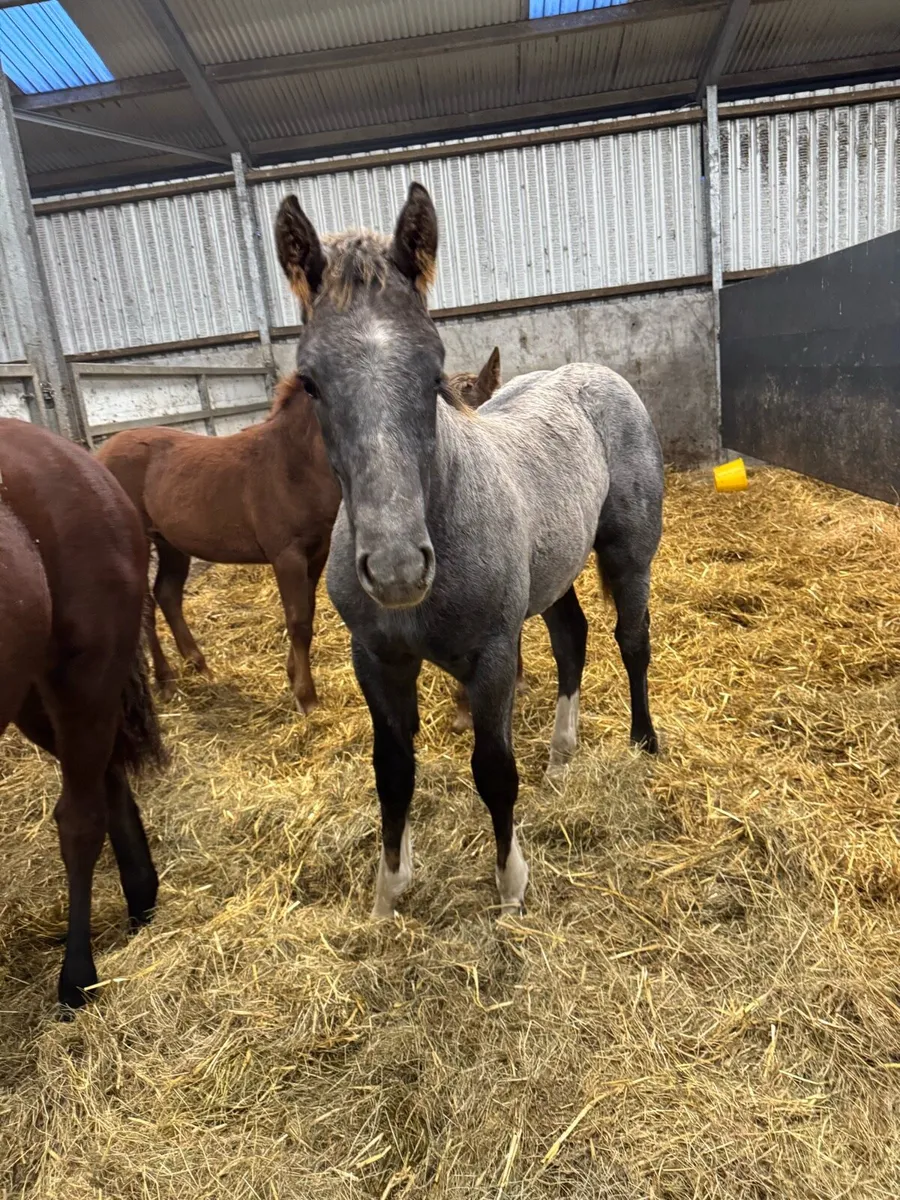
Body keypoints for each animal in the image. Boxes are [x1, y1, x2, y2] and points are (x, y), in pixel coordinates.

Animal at [0, 418, 165, 1009]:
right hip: (35, 696)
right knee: (107, 778)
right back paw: (141, 901)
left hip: (82, 677)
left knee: (80, 817)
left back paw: (77, 978)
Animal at [96, 358, 502, 714]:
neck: (294, 466)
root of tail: (100, 454)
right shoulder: (286, 556)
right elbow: (298, 621)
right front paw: (306, 698)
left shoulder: (314, 554)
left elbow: (306, 613)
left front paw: (293, 678)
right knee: (146, 607)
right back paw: (166, 681)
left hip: (172, 544)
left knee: (167, 594)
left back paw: (199, 665)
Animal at [274, 183, 664, 918]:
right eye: (309, 381)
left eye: (433, 369)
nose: (397, 569)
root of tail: (595, 374)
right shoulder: (376, 660)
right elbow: (393, 771)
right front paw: (388, 892)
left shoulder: (492, 656)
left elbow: (493, 769)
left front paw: (511, 888)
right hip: (552, 574)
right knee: (573, 637)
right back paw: (561, 754)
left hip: (630, 553)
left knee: (632, 639)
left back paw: (643, 742)